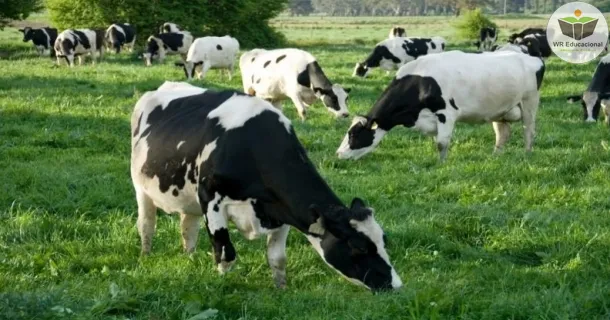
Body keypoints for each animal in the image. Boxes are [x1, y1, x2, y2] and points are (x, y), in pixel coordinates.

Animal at [131, 80, 402, 292]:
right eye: (357, 248)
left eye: (383, 241)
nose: (396, 286)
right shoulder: (211, 199)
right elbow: (225, 253)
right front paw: (222, 283)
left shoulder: (281, 210)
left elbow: (277, 258)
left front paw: (281, 289)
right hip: (140, 187)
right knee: (146, 224)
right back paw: (145, 255)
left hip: (188, 199)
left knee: (188, 228)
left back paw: (189, 257)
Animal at [334, 48, 544, 161]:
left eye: (353, 134)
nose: (338, 154)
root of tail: (532, 57)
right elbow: (438, 141)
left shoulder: (446, 113)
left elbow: (442, 143)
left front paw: (441, 164)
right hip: (500, 110)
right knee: (503, 133)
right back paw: (495, 156)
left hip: (530, 102)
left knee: (529, 130)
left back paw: (527, 154)